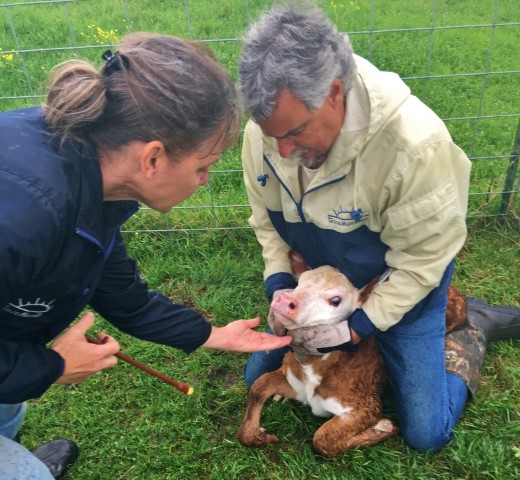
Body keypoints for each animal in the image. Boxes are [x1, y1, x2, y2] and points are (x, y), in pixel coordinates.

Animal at [238, 255, 466, 458]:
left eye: (335, 300)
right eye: (299, 283)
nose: (285, 299)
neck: (315, 366)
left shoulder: (365, 405)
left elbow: (324, 440)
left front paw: (383, 426)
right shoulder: (293, 380)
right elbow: (258, 384)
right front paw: (259, 434)